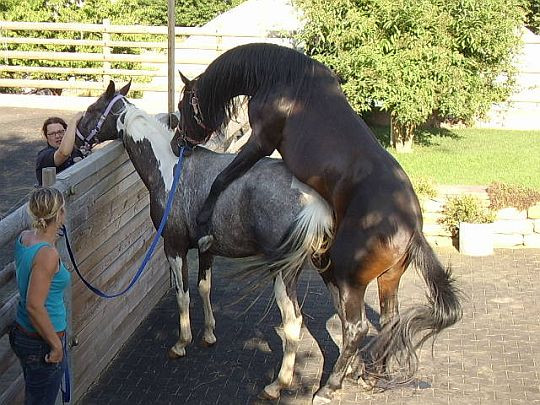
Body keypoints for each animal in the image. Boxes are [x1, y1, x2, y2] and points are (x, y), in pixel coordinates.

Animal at [76, 81, 338, 398]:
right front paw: (209, 333)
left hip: (283, 274)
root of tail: (313, 201)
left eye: (92, 109)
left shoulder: (173, 247)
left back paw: (278, 384)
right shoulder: (207, 249)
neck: (169, 168)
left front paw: (181, 343)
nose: (76, 137)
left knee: (292, 322)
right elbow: (204, 288)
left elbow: (183, 294)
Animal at [174, 42, 464, 402]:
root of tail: (411, 229)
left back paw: (331, 386)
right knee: (389, 322)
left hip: (350, 279)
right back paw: (373, 376)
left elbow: (223, 178)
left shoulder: (260, 142)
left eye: (183, 106)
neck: (283, 79)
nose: (179, 142)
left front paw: (203, 217)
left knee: (356, 329)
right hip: (388, 279)